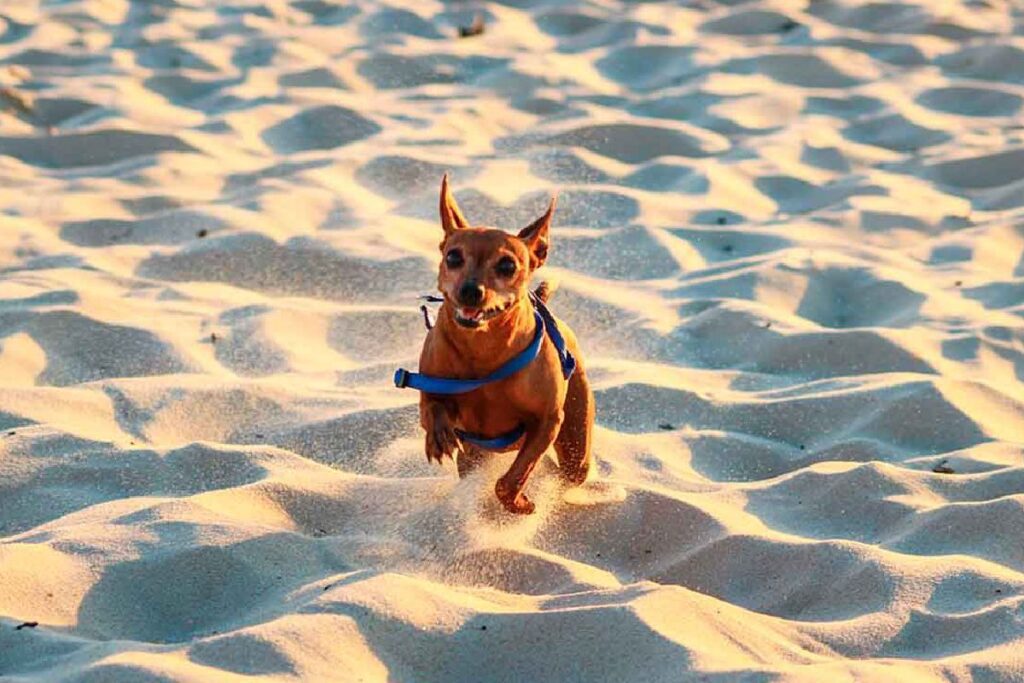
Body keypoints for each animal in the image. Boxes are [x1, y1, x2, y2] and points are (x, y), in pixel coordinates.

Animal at [395, 176, 598, 511]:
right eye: (453, 257)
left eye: (507, 266)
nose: (470, 291)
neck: (483, 352)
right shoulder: (431, 387)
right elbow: (432, 408)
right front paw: (438, 436)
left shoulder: (547, 421)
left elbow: (514, 476)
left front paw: (518, 502)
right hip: (474, 456)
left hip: (575, 444)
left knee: (568, 468)